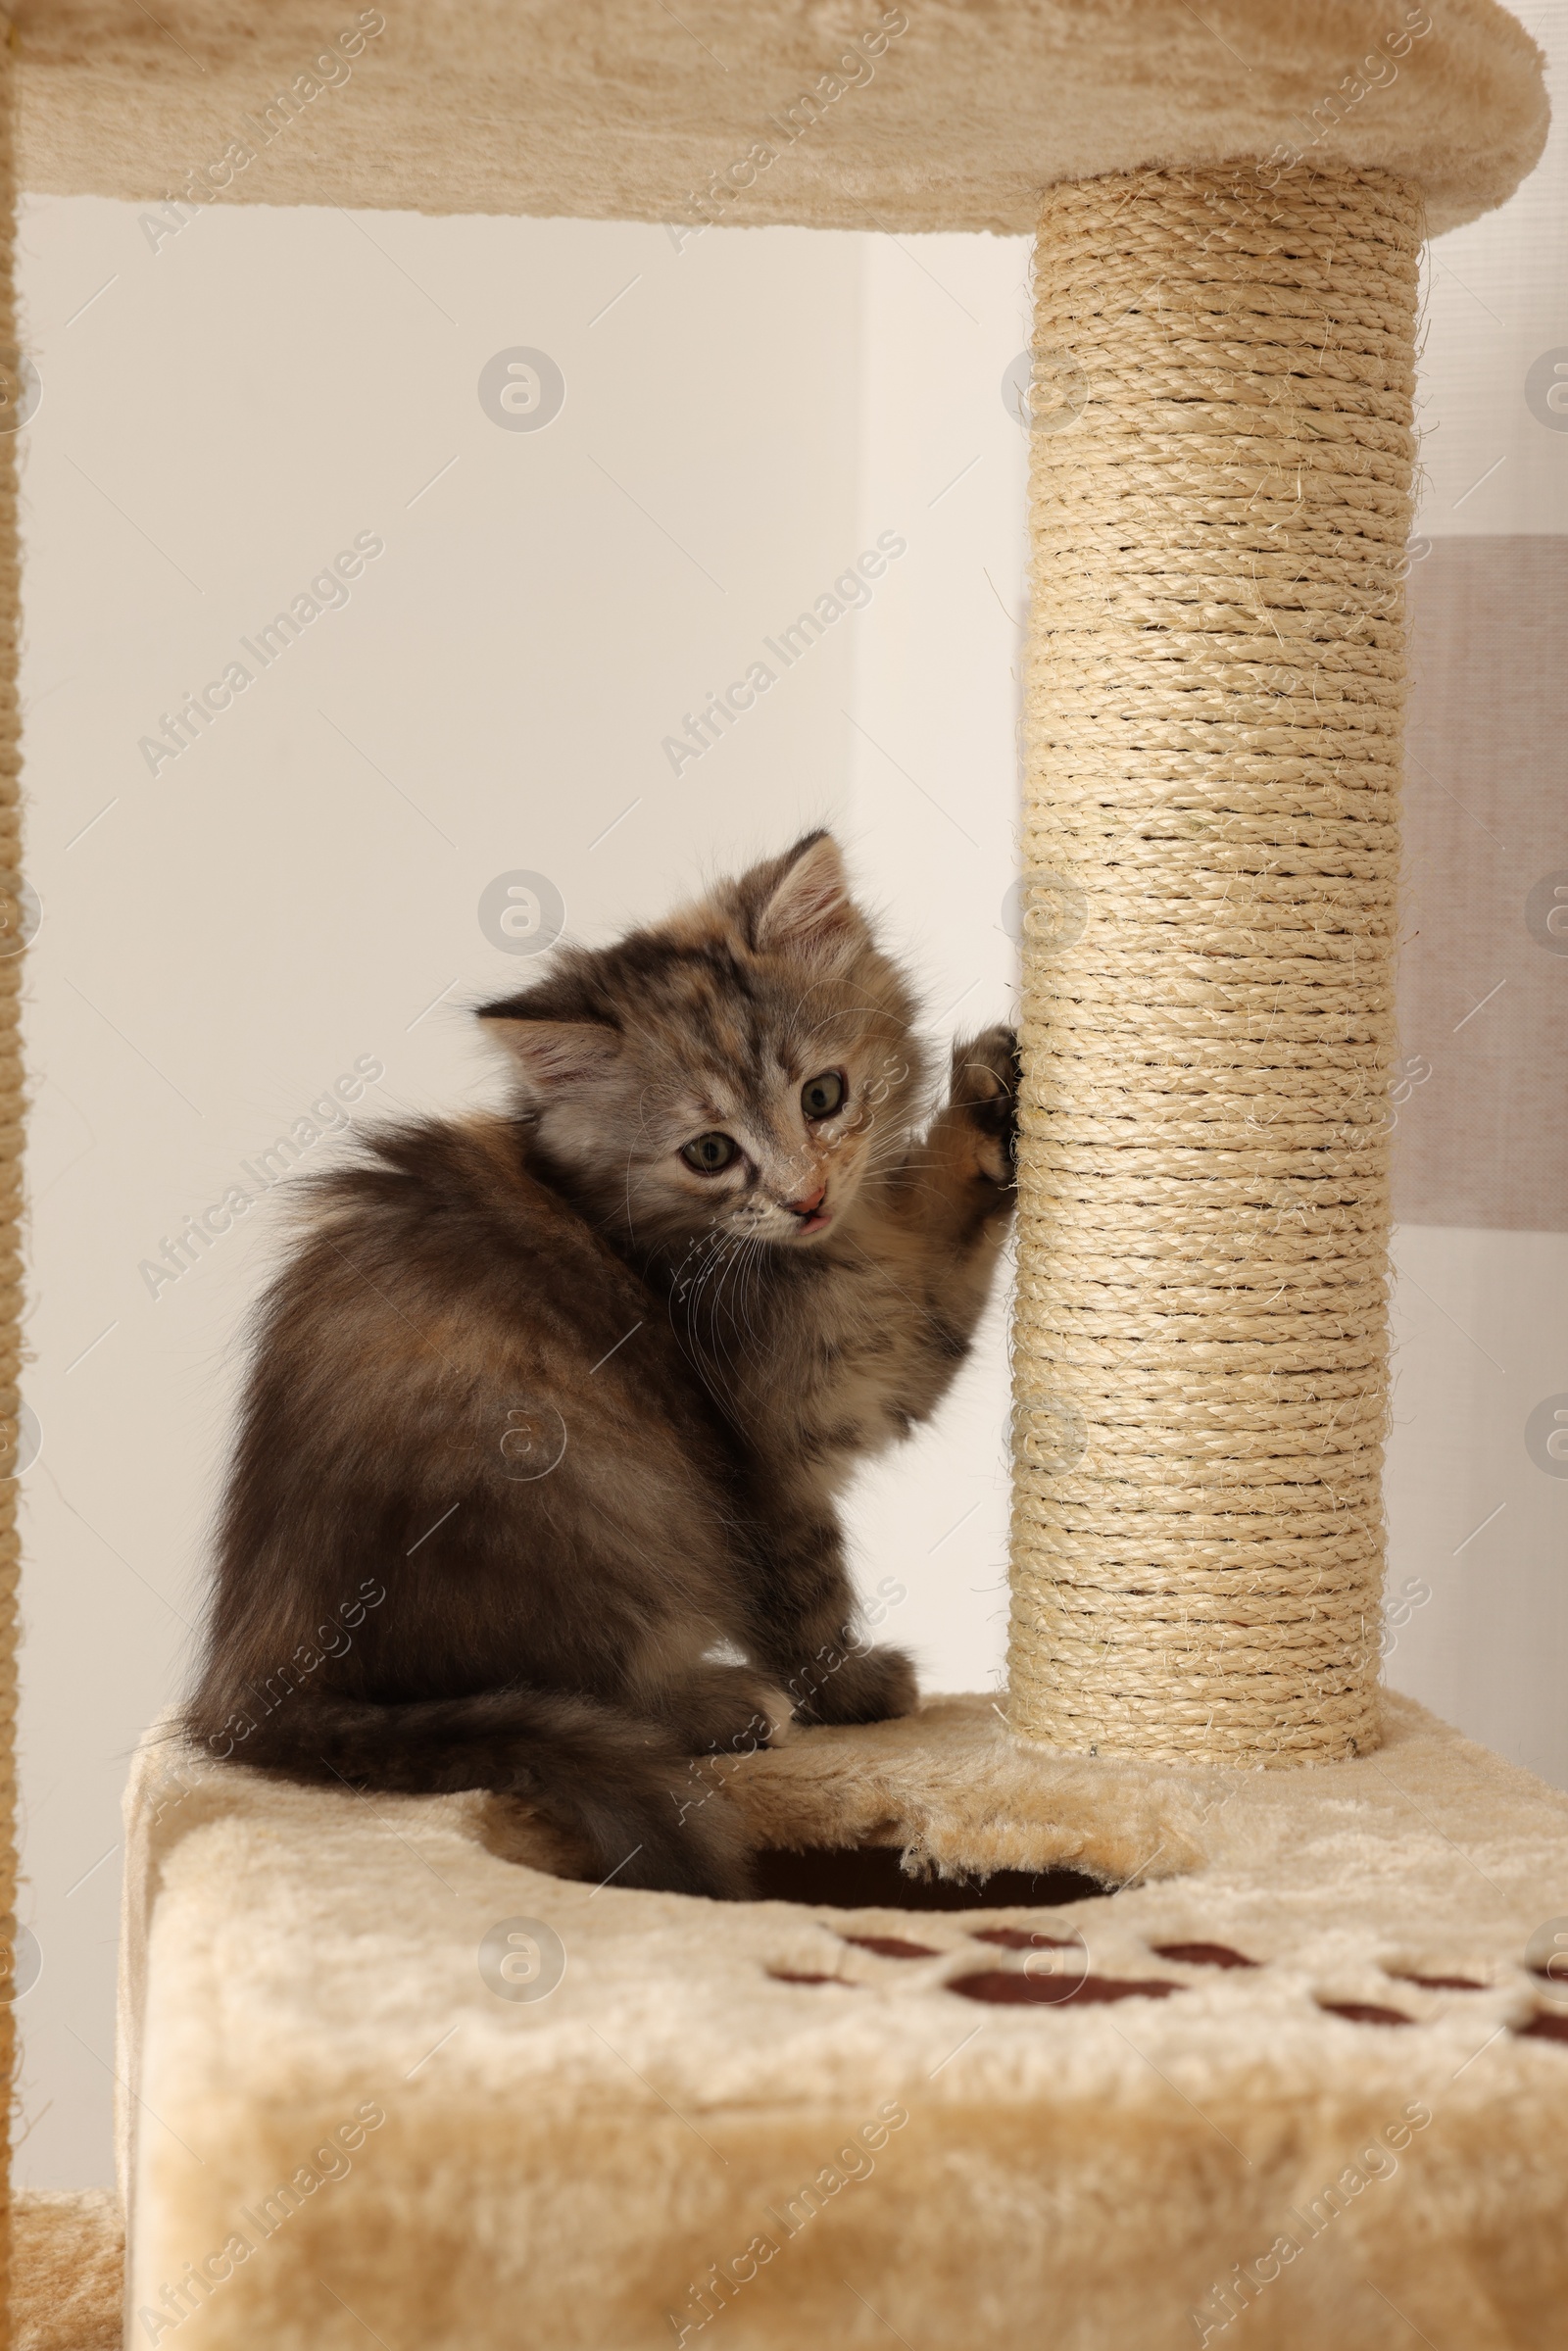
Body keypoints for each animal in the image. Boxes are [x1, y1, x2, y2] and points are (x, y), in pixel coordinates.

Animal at [184, 837, 1020, 1899]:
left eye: (823, 1095)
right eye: (709, 1152)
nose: (805, 1196)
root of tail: (251, 1681)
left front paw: (990, 1101)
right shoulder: (774, 1440)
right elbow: (806, 1591)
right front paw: (849, 1686)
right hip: (595, 1492)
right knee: (575, 1682)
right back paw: (725, 1706)